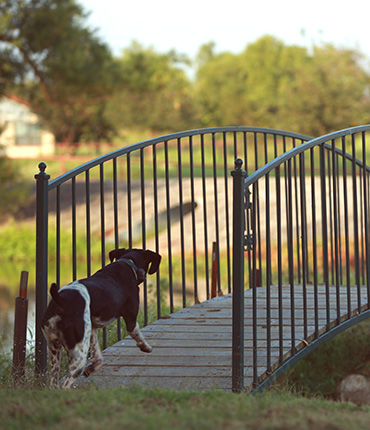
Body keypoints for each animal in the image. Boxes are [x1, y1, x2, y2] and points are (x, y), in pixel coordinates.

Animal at [41, 245, 160, 390]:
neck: (127, 263)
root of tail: (60, 300)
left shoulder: (92, 330)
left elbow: (99, 357)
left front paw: (92, 368)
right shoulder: (131, 319)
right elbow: (137, 334)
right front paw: (145, 347)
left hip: (54, 349)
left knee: (54, 384)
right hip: (78, 356)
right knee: (66, 384)